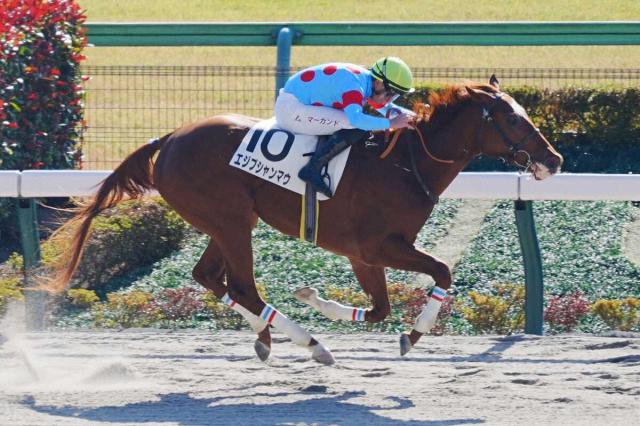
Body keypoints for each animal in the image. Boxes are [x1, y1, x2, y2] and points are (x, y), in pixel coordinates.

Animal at [49, 76, 562, 365]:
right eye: (513, 120)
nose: (554, 160)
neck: (407, 161)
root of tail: (170, 137)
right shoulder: (375, 246)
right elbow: (440, 273)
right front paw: (412, 336)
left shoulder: (365, 255)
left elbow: (380, 308)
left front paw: (317, 298)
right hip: (230, 221)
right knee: (243, 287)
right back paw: (313, 345)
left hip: (227, 222)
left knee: (210, 277)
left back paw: (267, 338)